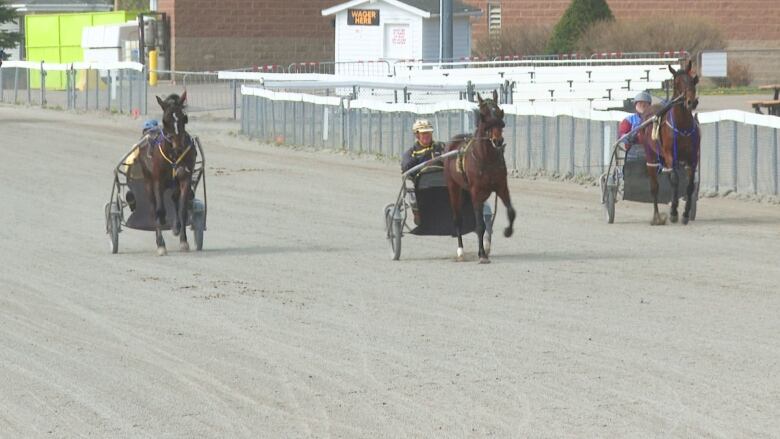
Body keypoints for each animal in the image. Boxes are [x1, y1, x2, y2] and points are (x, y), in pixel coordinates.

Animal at [136, 93, 194, 256]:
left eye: (184, 118)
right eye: (165, 121)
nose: (179, 146)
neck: (174, 154)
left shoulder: (185, 178)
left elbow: (182, 209)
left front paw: (183, 241)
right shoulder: (158, 180)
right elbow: (159, 210)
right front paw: (161, 244)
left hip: (174, 183)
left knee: (174, 199)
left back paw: (176, 226)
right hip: (148, 181)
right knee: (153, 207)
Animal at [444, 89, 516, 262]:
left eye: (499, 113)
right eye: (484, 116)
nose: (498, 140)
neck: (486, 158)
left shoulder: (501, 186)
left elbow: (511, 212)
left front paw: (507, 231)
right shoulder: (476, 191)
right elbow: (479, 225)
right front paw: (482, 253)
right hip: (453, 187)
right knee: (458, 219)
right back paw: (460, 251)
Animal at [640, 61, 700, 227]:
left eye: (692, 80)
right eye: (677, 82)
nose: (691, 102)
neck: (682, 127)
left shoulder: (692, 158)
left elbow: (689, 186)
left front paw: (685, 214)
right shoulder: (670, 155)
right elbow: (675, 180)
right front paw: (673, 212)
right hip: (651, 156)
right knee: (655, 186)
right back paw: (657, 217)